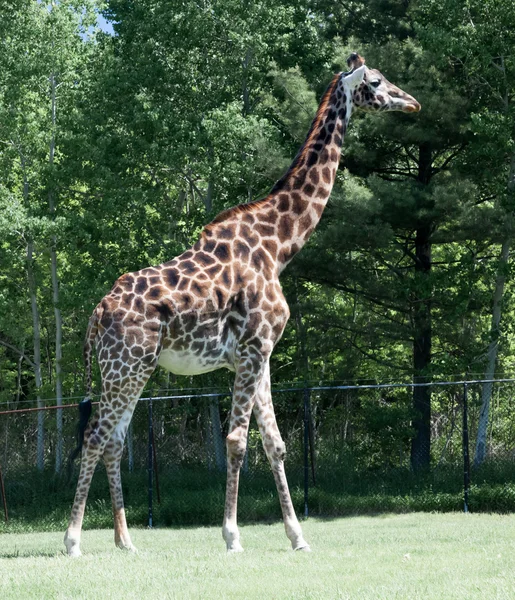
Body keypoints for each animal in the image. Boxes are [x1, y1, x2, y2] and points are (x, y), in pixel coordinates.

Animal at [64, 54, 420, 556]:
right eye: (376, 80)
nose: (412, 102)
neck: (280, 244)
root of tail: (97, 314)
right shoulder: (253, 349)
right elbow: (236, 440)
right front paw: (232, 535)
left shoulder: (260, 353)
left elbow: (276, 443)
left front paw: (298, 536)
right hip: (125, 366)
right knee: (96, 436)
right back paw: (73, 540)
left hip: (131, 369)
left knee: (114, 439)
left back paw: (126, 541)